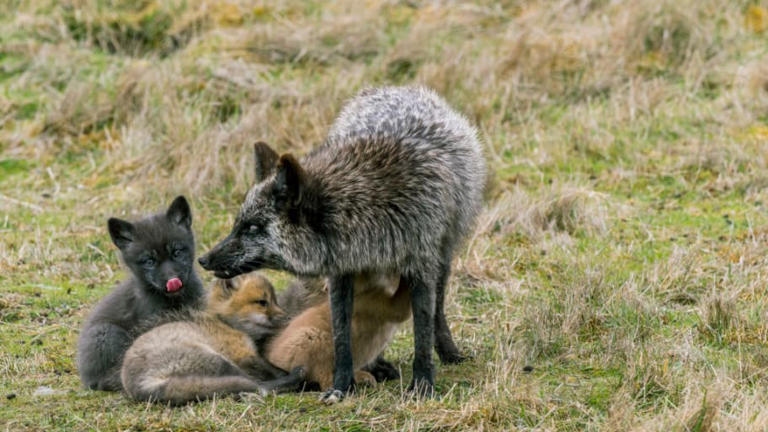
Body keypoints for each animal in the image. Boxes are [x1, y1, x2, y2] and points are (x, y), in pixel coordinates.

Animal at [200, 85, 486, 402]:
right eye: (238, 224)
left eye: (252, 227)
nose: (204, 259)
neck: (368, 210)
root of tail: (396, 88)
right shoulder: (341, 273)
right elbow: (341, 335)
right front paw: (341, 384)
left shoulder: (421, 266)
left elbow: (423, 331)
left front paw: (423, 384)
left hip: (444, 257)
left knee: (438, 311)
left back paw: (447, 353)